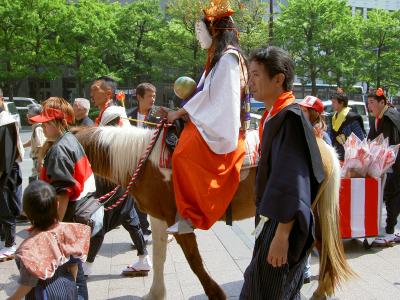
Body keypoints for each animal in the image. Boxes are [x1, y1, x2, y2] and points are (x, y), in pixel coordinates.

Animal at [76, 125, 354, 298]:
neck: (145, 162)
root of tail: (323, 146)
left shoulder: (178, 221)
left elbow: (195, 262)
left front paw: (215, 293)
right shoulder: (158, 218)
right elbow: (159, 256)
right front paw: (155, 293)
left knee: (321, 247)